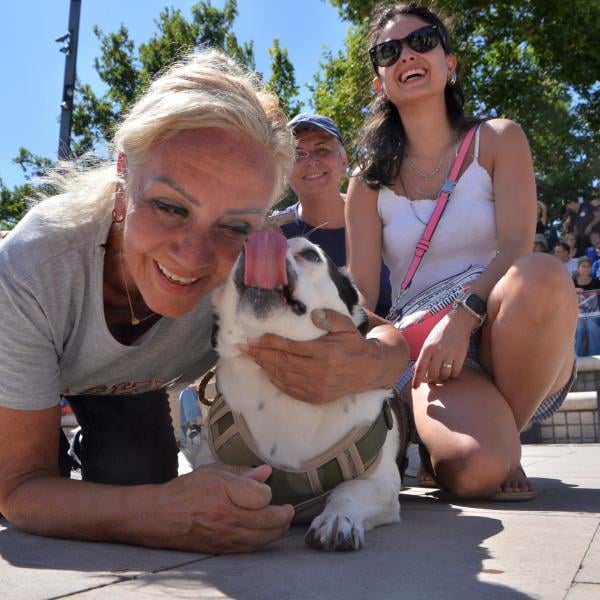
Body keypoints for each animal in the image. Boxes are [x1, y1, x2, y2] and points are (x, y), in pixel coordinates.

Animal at [185, 227, 404, 552]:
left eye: (310, 255)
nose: (257, 241)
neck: (280, 392)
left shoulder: (381, 485)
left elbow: (348, 490)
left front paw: (336, 520)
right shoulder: (209, 462)